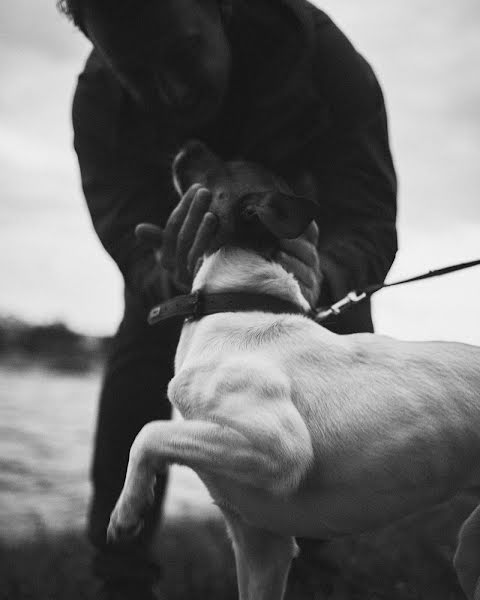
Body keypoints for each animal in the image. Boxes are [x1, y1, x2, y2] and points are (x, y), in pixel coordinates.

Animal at [108, 142, 480, 600]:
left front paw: (128, 509)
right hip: (470, 550)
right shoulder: (261, 544)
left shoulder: (279, 449)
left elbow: (149, 433)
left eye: (226, 166)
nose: (189, 145)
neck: (237, 303)